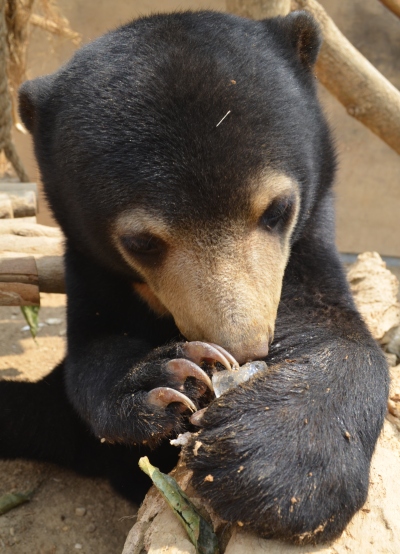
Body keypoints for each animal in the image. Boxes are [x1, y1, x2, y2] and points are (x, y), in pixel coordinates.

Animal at [0, 9, 390, 544]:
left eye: (278, 210)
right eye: (141, 242)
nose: (242, 349)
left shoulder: (310, 236)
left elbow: (330, 320)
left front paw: (272, 461)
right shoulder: (88, 264)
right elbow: (91, 358)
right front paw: (169, 378)